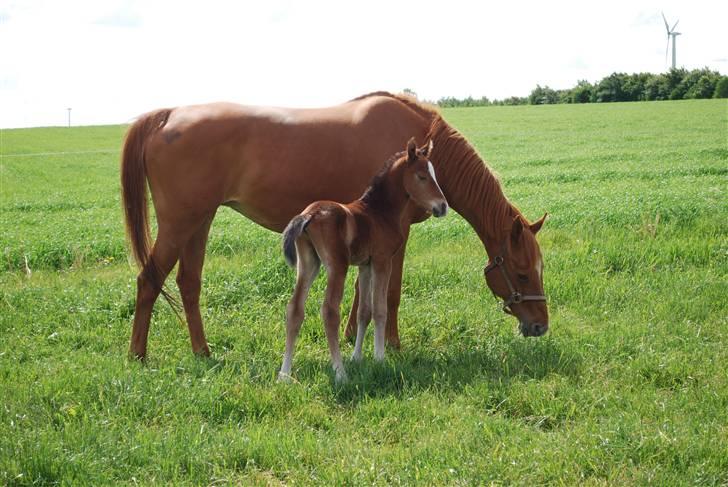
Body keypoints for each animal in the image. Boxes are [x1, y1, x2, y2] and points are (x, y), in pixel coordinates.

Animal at [280, 139, 450, 384]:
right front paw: (380, 358)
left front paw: (357, 357)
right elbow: (380, 309)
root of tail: (308, 215)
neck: (379, 212)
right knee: (330, 312)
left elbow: (364, 311)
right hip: (337, 267)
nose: (443, 206)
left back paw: (284, 373)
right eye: (421, 176)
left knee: (294, 309)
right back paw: (340, 373)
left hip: (308, 264)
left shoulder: (364, 265)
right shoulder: (382, 261)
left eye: (433, 174)